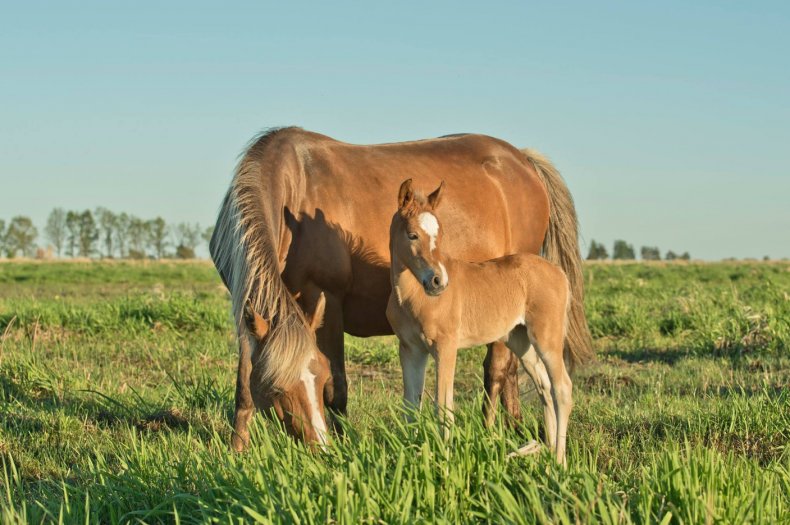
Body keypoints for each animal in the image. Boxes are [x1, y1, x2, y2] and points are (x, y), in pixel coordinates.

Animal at [210, 128, 592, 450]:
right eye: (277, 387)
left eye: (317, 377)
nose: (319, 447)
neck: (295, 186)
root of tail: (523, 160)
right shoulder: (249, 307)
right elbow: (245, 382)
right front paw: (236, 451)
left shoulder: (328, 301)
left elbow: (339, 387)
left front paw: (344, 446)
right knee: (514, 370)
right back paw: (515, 428)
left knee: (497, 371)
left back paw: (490, 432)